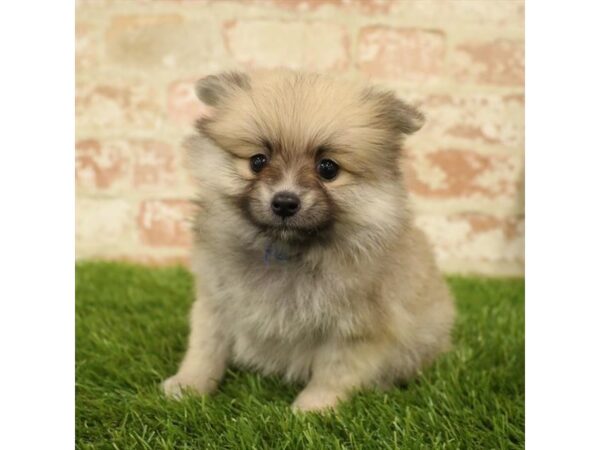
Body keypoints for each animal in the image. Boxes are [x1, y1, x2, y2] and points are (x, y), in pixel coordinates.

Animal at [164, 69, 454, 412]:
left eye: (327, 168)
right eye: (258, 161)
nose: (285, 202)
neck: (286, 251)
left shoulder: (356, 327)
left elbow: (334, 372)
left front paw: (312, 409)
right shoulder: (215, 301)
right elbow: (205, 348)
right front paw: (188, 385)